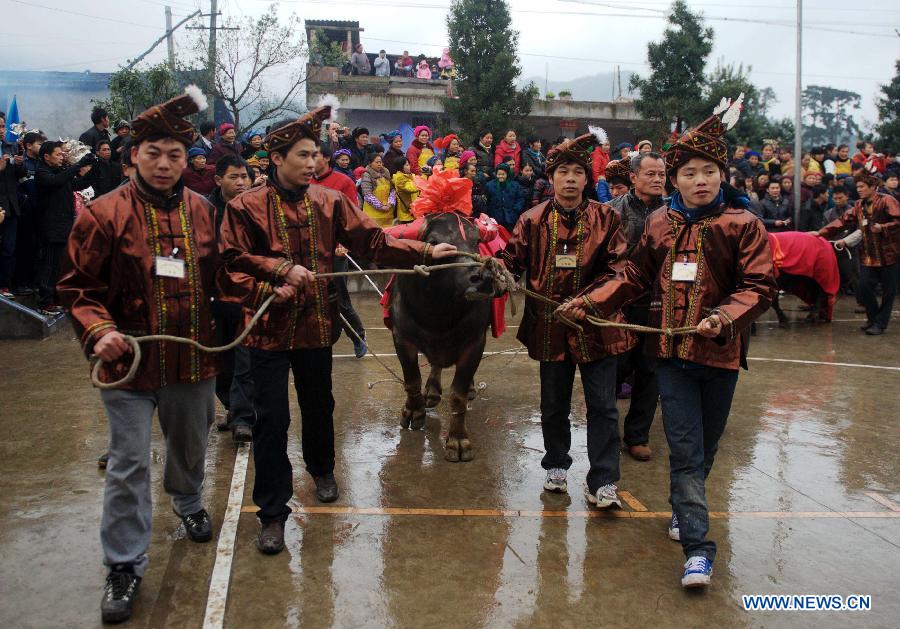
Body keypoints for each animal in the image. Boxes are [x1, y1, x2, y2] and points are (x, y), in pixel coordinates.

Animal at [386, 211, 500, 462]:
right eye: (434, 242)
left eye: (476, 241)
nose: (481, 278)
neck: (438, 312)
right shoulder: (401, 338)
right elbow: (412, 380)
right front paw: (413, 412)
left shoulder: (475, 341)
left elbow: (458, 394)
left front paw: (458, 441)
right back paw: (431, 392)